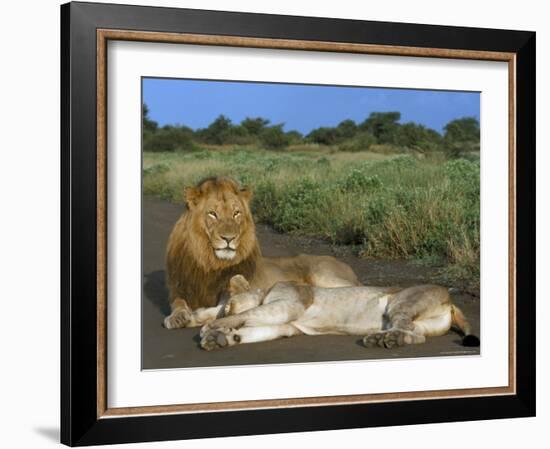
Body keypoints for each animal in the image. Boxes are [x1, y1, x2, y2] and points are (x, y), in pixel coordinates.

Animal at [164, 176, 362, 328]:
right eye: (212, 214)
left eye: (236, 213)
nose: (229, 238)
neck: (210, 263)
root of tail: (346, 266)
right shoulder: (179, 290)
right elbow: (178, 303)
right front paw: (178, 317)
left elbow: (222, 307)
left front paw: (198, 316)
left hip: (323, 275)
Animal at [201, 272, 480, 350]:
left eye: (227, 305)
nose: (221, 314)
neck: (265, 291)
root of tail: (450, 299)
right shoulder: (287, 325)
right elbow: (254, 330)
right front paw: (222, 338)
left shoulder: (287, 305)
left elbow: (246, 315)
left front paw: (211, 328)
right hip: (424, 323)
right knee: (417, 335)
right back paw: (389, 340)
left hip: (401, 302)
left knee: (405, 327)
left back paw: (383, 339)